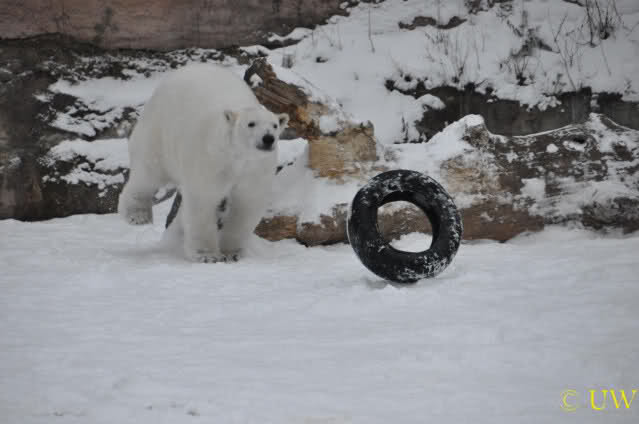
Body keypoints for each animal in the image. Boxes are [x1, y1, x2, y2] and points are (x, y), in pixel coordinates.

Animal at [118, 64, 289, 263]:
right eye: (251, 124)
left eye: (274, 125)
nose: (268, 139)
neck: (238, 156)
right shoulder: (211, 159)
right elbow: (203, 199)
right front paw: (208, 256)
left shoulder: (255, 168)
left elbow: (247, 203)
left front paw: (232, 253)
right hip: (159, 131)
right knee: (148, 173)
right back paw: (137, 215)